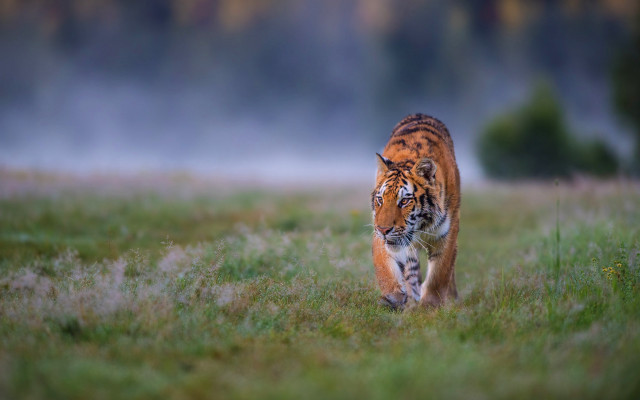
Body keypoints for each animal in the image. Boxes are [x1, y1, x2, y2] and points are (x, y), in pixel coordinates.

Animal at [371, 113, 460, 310]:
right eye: (380, 200)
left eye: (404, 201)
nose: (384, 229)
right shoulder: (379, 233)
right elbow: (384, 267)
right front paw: (394, 296)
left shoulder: (448, 233)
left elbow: (439, 273)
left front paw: (430, 306)